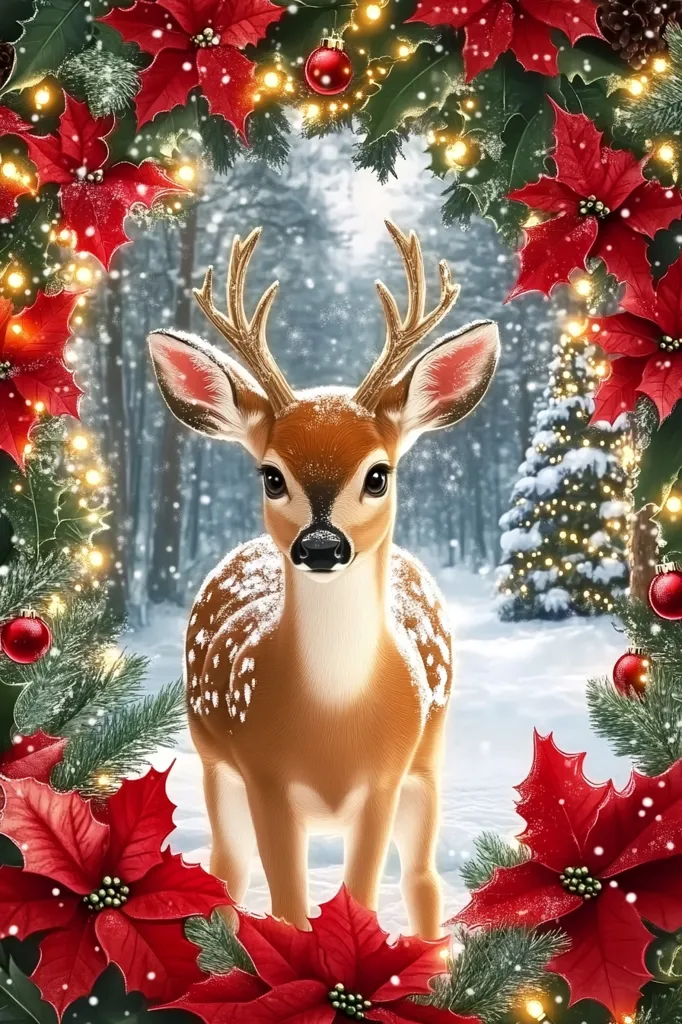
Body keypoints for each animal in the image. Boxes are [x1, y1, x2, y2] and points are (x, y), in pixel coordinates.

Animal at [147, 222, 500, 939]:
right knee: (228, 869)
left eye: (378, 474)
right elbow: (286, 904)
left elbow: (360, 893)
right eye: (271, 475)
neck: (331, 723)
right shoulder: (261, 774)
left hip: (429, 758)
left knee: (422, 880)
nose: (320, 546)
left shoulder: (387, 777)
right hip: (212, 761)